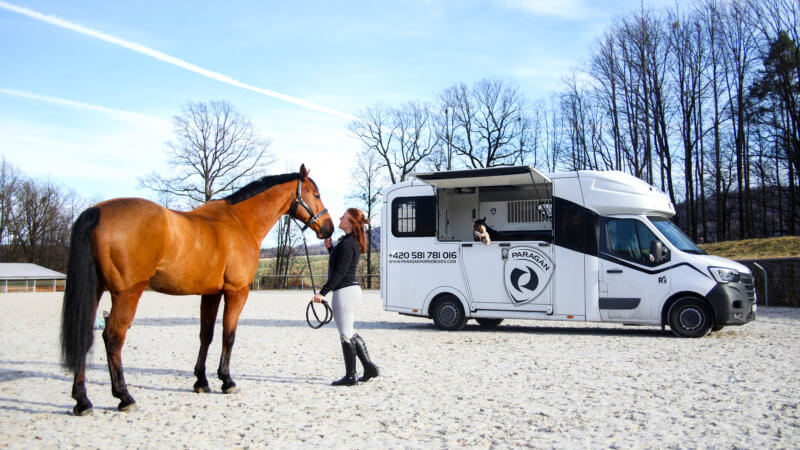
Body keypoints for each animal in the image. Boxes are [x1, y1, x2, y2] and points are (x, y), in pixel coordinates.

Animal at [60, 164, 333, 416]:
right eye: (316, 194)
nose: (328, 228)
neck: (241, 221)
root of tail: (97, 211)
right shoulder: (236, 291)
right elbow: (228, 334)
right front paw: (227, 381)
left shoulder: (211, 293)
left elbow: (206, 335)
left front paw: (201, 381)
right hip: (128, 293)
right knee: (113, 337)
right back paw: (124, 397)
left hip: (96, 291)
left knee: (86, 335)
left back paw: (82, 401)